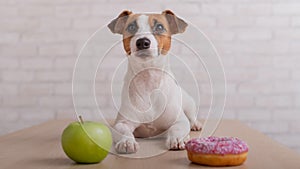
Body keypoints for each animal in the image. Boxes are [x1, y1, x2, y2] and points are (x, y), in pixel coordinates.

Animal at [108, 9, 202, 154]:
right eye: (131, 27)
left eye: (159, 27)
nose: (142, 42)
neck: (149, 79)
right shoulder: (121, 122)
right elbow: (123, 130)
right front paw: (127, 142)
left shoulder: (179, 120)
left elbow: (178, 127)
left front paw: (177, 139)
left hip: (189, 104)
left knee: (191, 117)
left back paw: (196, 124)